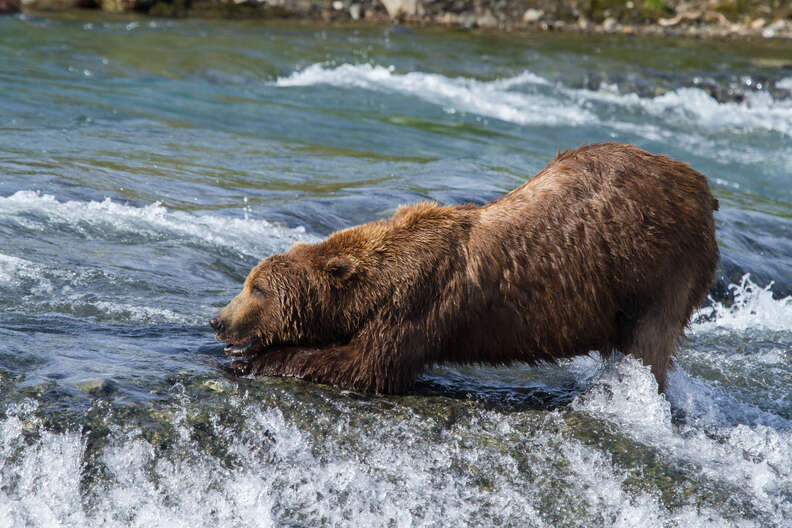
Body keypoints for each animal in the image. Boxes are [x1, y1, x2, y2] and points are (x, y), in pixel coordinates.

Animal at [210, 142, 719, 394]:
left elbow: (367, 365)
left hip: (659, 267)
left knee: (650, 344)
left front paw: (254, 360)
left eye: (257, 289)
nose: (217, 320)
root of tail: (702, 187)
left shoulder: (418, 302)